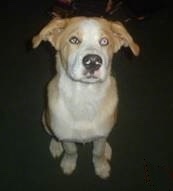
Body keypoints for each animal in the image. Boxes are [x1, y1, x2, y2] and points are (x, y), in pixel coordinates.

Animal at [33, 16, 140, 179]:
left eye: (104, 41)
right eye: (74, 40)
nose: (93, 61)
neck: (85, 97)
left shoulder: (100, 136)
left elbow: (98, 152)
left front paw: (101, 166)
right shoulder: (67, 138)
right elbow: (71, 151)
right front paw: (68, 164)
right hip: (45, 119)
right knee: (53, 134)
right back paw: (56, 145)